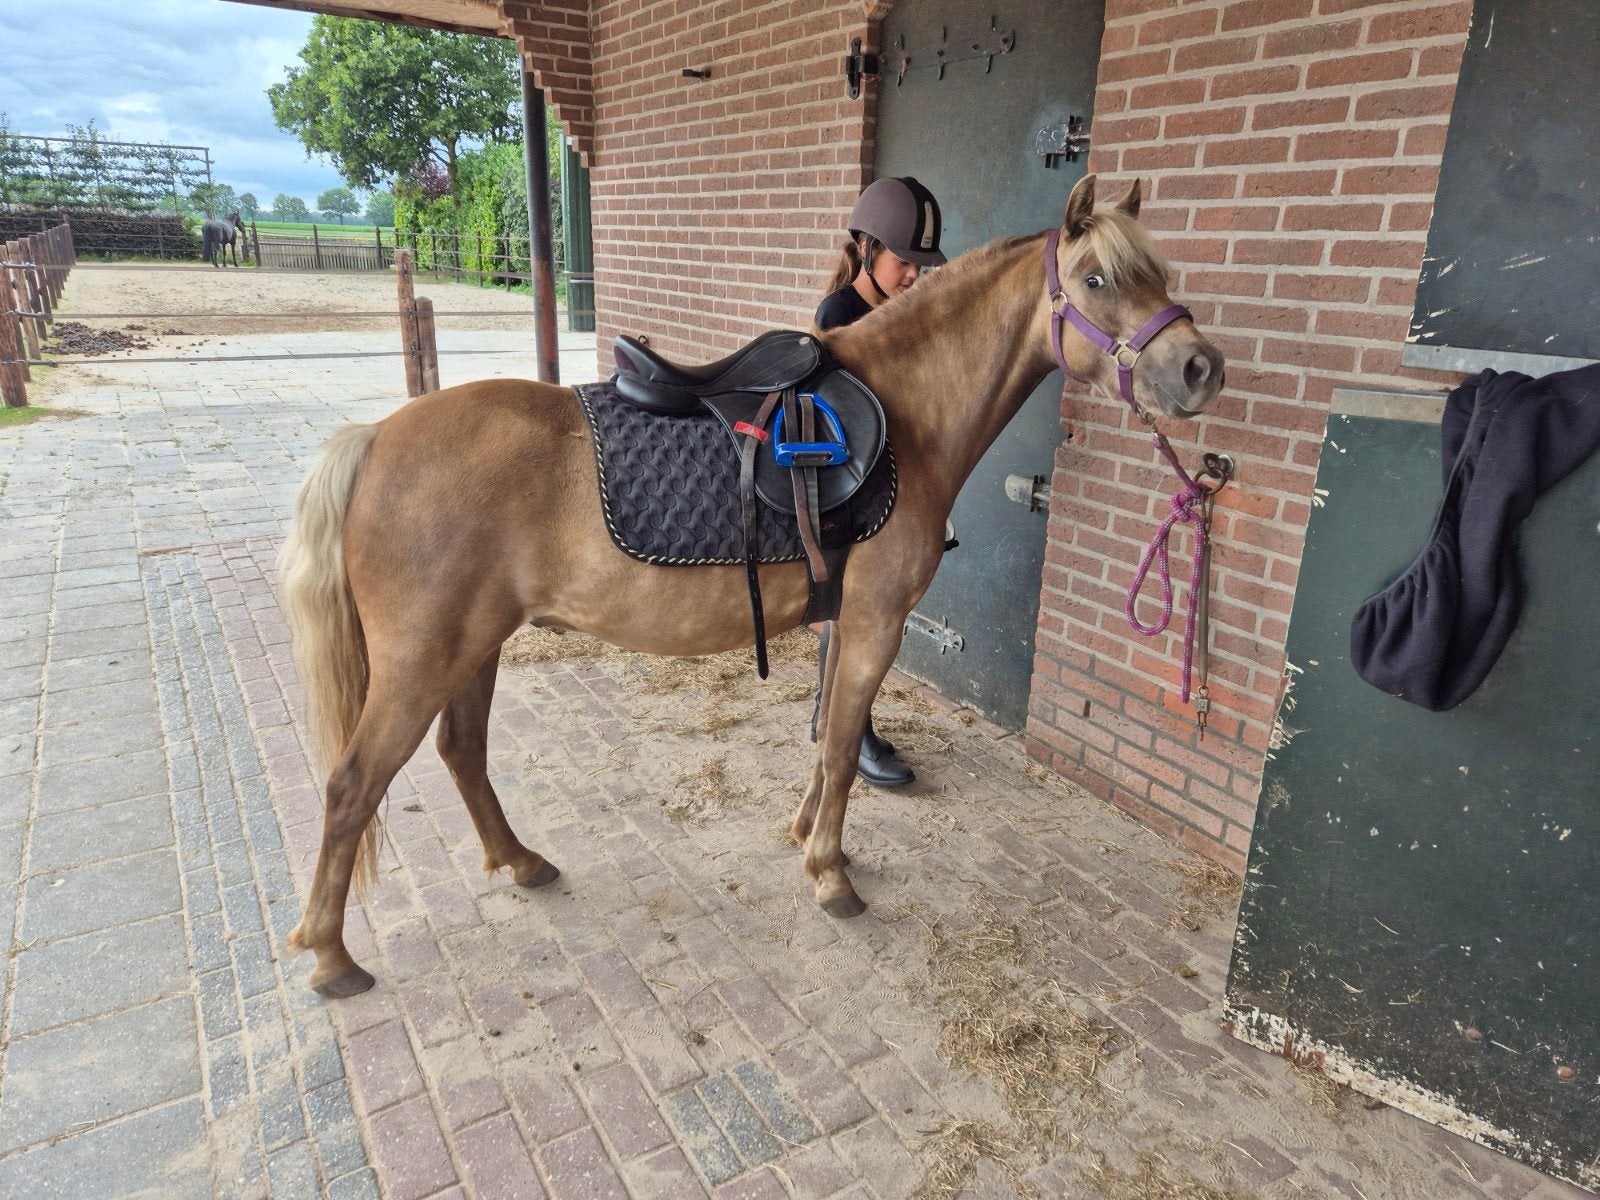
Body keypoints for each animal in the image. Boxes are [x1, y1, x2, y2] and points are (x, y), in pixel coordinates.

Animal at [278, 174, 1225, 998]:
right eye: (1096, 278)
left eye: (1159, 274)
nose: (1201, 369)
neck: (908, 415)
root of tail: (376, 439)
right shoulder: (877, 622)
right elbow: (840, 749)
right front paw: (830, 874)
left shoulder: (848, 623)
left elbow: (829, 737)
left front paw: (808, 836)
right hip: (423, 660)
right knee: (353, 785)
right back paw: (330, 956)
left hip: (475, 648)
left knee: (463, 754)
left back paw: (520, 862)